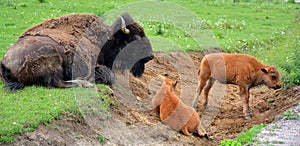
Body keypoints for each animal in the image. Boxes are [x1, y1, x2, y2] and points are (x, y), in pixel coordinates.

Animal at [0, 12, 154, 90]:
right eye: (134, 38)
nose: (151, 56)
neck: (104, 39)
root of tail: (4, 61)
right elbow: (108, 75)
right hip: (52, 57)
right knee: (56, 83)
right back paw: (85, 83)